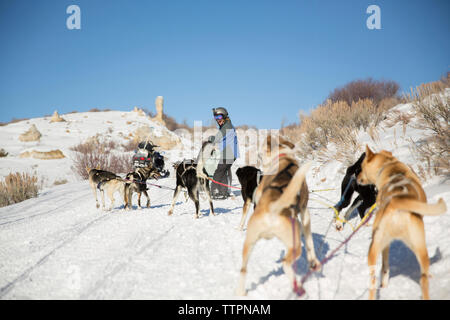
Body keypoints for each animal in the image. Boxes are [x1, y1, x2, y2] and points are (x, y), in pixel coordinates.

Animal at [236, 134, 320, 296]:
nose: (258, 156)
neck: (282, 157)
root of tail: (271, 209)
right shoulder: (305, 212)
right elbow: (310, 243)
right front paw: (314, 262)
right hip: (294, 244)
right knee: (286, 263)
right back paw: (298, 287)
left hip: (249, 243)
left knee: (243, 269)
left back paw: (241, 292)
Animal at [356, 145, 446, 300]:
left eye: (361, 167)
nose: (356, 178)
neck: (389, 165)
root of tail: (395, 203)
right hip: (419, 245)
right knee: (423, 279)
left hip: (374, 248)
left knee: (374, 278)